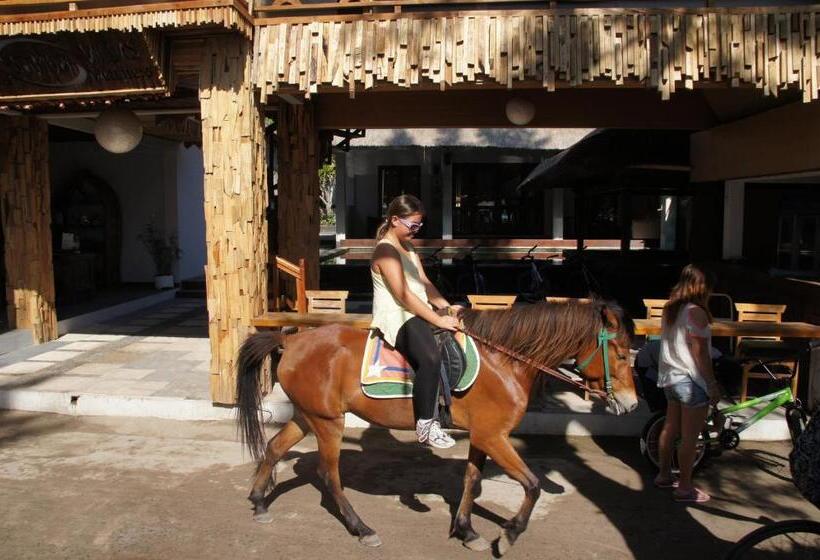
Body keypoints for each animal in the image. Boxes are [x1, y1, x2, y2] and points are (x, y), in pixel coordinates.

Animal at [237, 300, 640, 552]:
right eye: (621, 354)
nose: (633, 403)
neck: (503, 361)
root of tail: (291, 339)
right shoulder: (494, 436)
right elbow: (532, 484)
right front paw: (509, 533)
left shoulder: (483, 436)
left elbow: (472, 480)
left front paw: (467, 530)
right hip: (328, 423)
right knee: (329, 474)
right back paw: (361, 528)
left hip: (307, 417)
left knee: (274, 449)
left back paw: (258, 503)